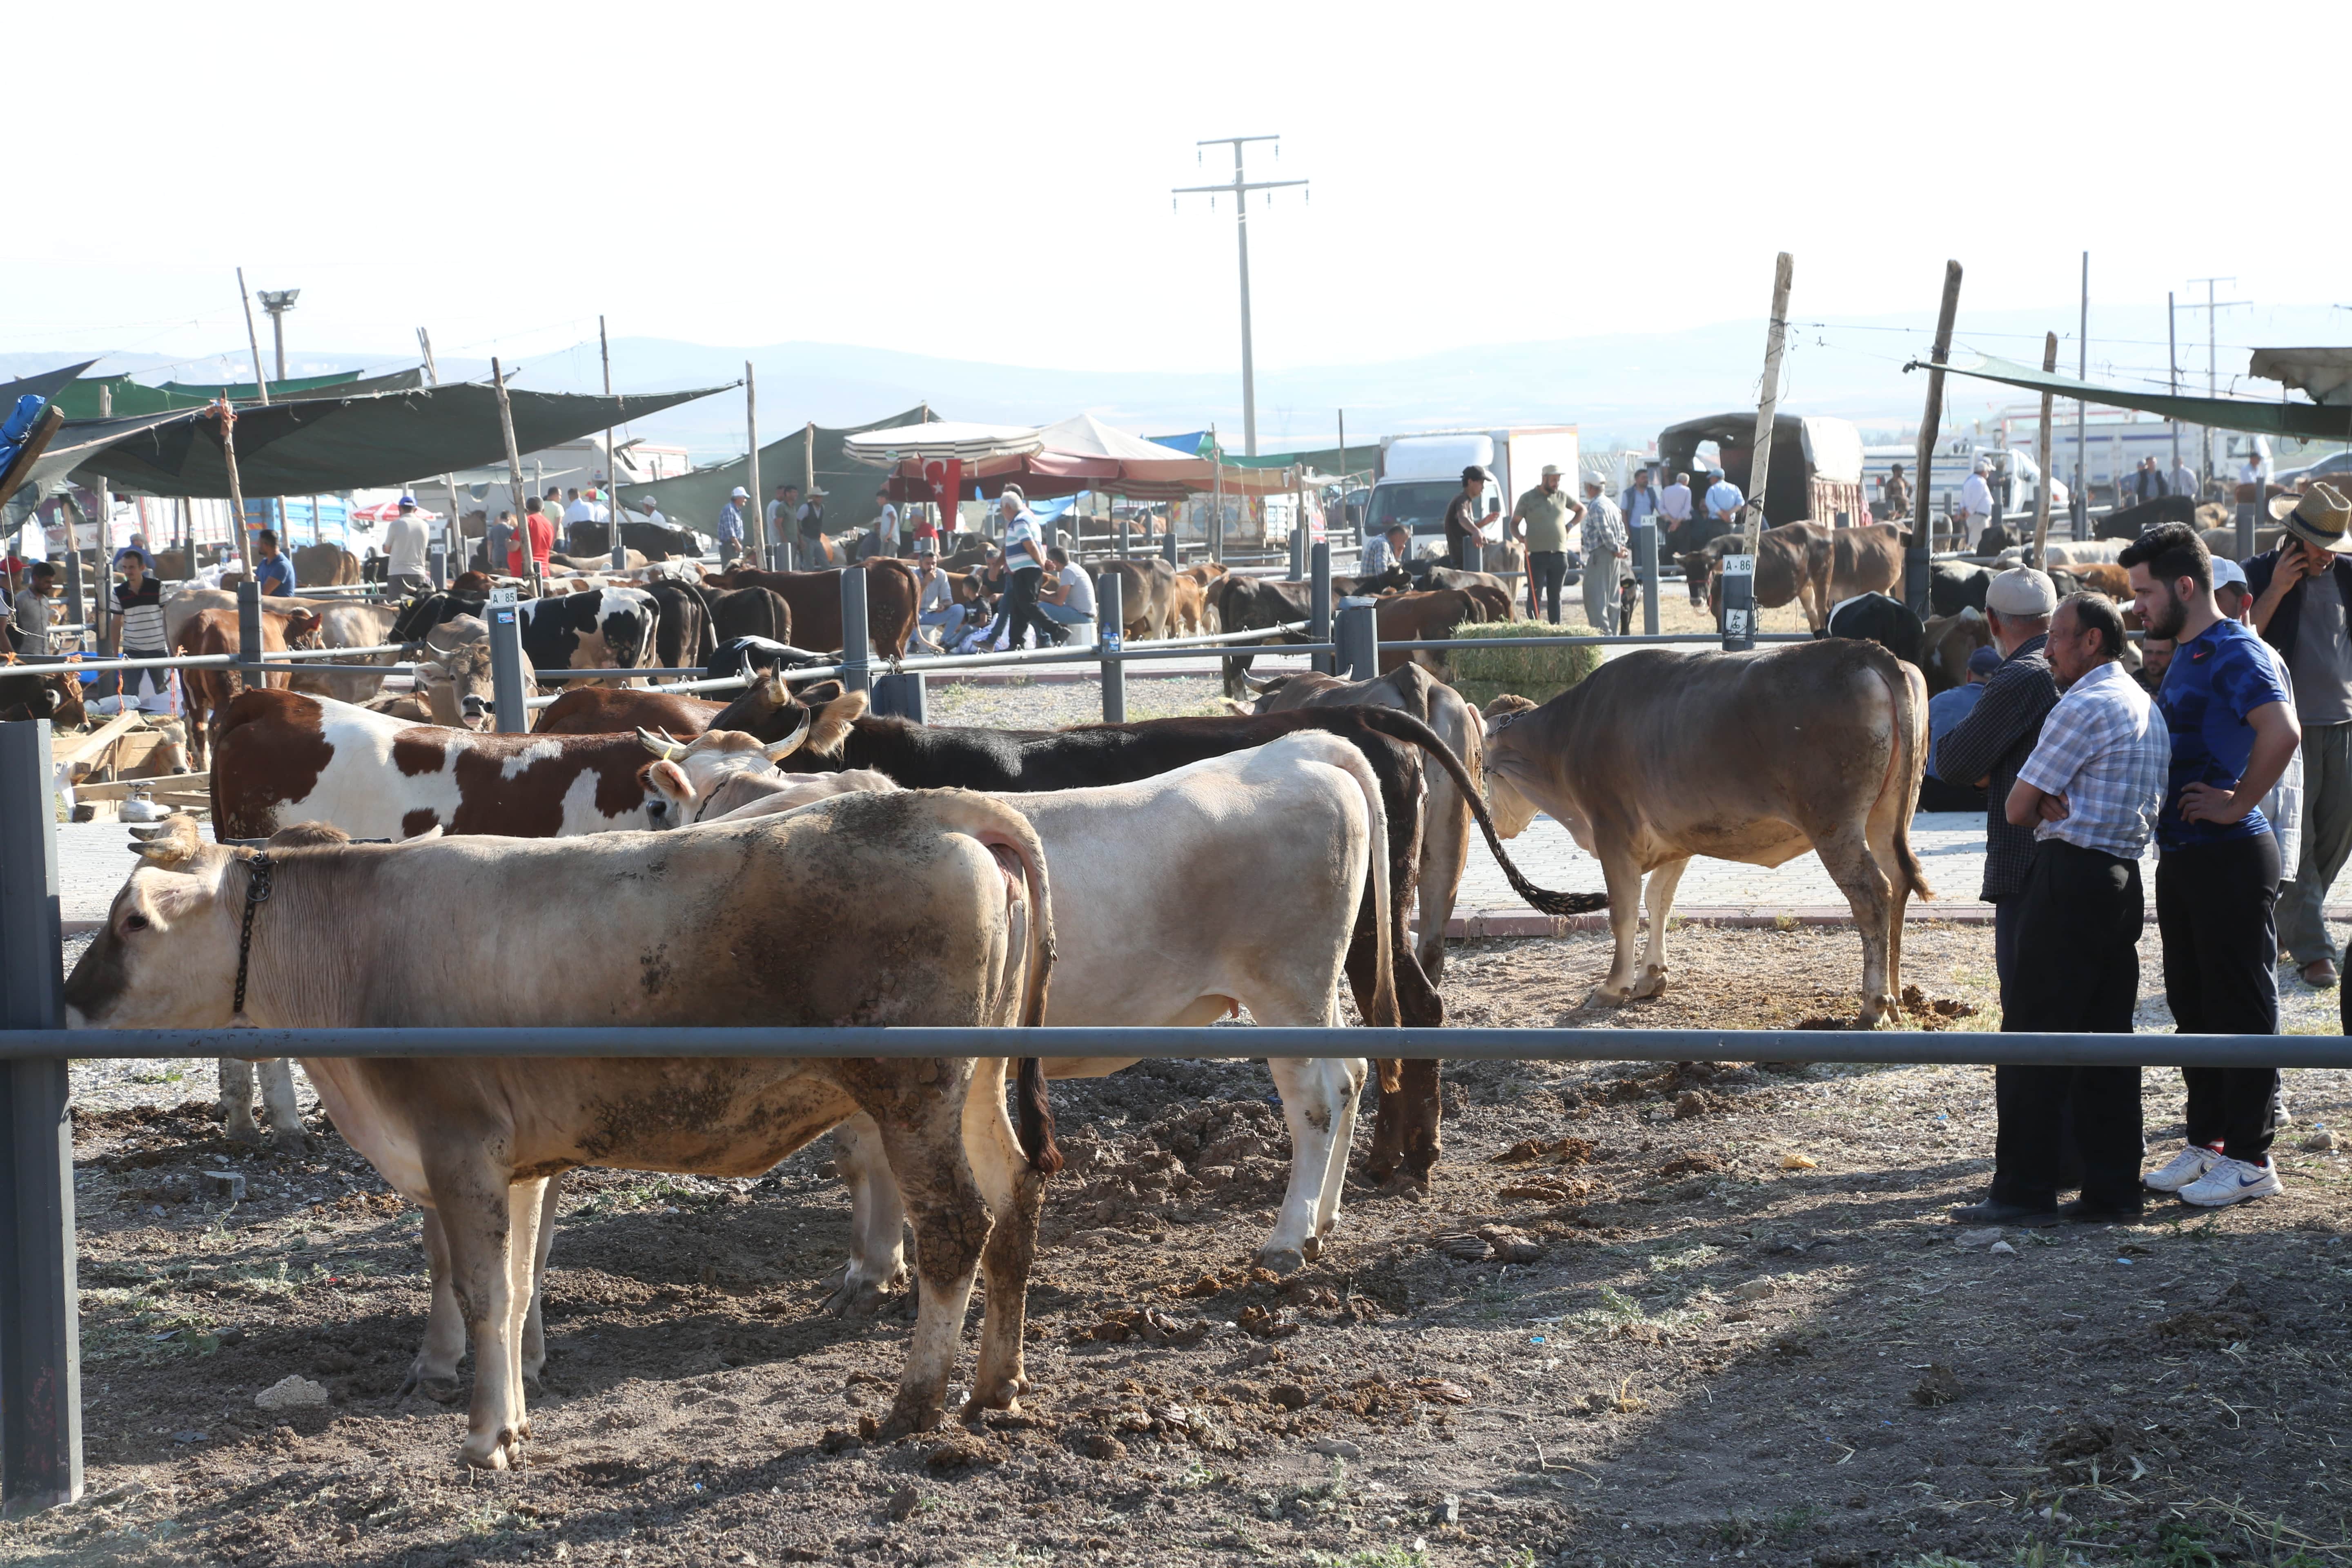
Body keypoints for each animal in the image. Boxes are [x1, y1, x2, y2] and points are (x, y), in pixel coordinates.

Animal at [67, 799, 1058, 1476]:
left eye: (133, 921)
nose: (71, 1001)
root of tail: (929, 806)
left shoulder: (460, 1145)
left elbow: (482, 1292)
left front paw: (482, 1440)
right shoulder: (515, 1163)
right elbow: (516, 1285)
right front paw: (509, 1416)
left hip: (914, 1093)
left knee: (956, 1224)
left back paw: (914, 1404)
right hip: (976, 1083)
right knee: (1016, 1191)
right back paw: (994, 1385)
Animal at [172, 606, 322, 771]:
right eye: (319, 633)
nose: (323, 648)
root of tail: (202, 621)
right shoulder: (281, 684)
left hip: (193, 693)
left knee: (199, 728)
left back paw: (205, 768)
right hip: (227, 691)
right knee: (217, 726)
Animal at [1486, 639, 1929, 1025]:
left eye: (1483, 765)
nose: (1499, 825)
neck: (1569, 734)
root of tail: (1863, 650)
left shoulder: (1613, 831)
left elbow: (1624, 912)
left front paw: (1613, 987)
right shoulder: (1677, 837)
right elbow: (1658, 901)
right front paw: (1651, 976)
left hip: (1834, 823)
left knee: (1873, 893)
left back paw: (1873, 1006)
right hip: (1888, 815)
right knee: (1898, 882)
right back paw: (1897, 1001)